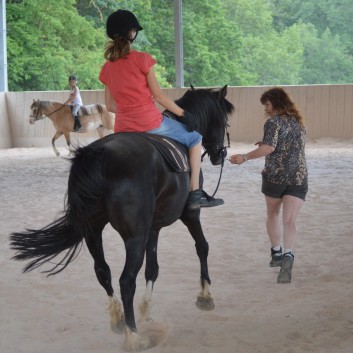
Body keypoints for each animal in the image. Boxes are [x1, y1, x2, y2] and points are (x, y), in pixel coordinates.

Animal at [9, 84, 234, 350]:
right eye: (225, 121)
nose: (220, 155)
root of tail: (100, 153)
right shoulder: (190, 214)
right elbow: (202, 246)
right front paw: (205, 295)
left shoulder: (153, 228)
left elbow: (152, 269)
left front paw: (146, 312)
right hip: (133, 237)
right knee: (126, 280)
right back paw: (133, 336)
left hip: (93, 232)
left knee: (102, 271)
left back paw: (118, 319)